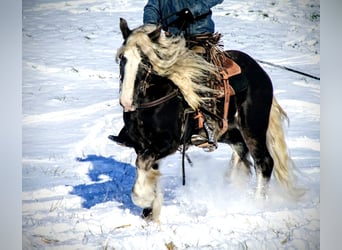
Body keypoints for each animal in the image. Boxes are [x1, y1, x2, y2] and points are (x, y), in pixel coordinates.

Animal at [113, 18, 300, 221]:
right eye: (123, 59)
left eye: (146, 62)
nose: (126, 102)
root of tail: (261, 74)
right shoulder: (143, 145)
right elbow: (148, 168)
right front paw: (150, 211)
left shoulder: (168, 143)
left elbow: (142, 166)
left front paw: (144, 198)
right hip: (230, 131)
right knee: (242, 153)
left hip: (253, 128)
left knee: (264, 162)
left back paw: (256, 205)